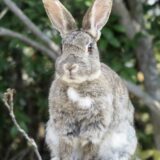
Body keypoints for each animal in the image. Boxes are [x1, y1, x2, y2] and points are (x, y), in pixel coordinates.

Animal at [42, 0, 138, 159]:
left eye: (90, 48)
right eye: (62, 48)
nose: (70, 66)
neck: (77, 85)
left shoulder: (94, 130)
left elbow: (90, 151)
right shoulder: (64, 130)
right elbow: (65, 152)